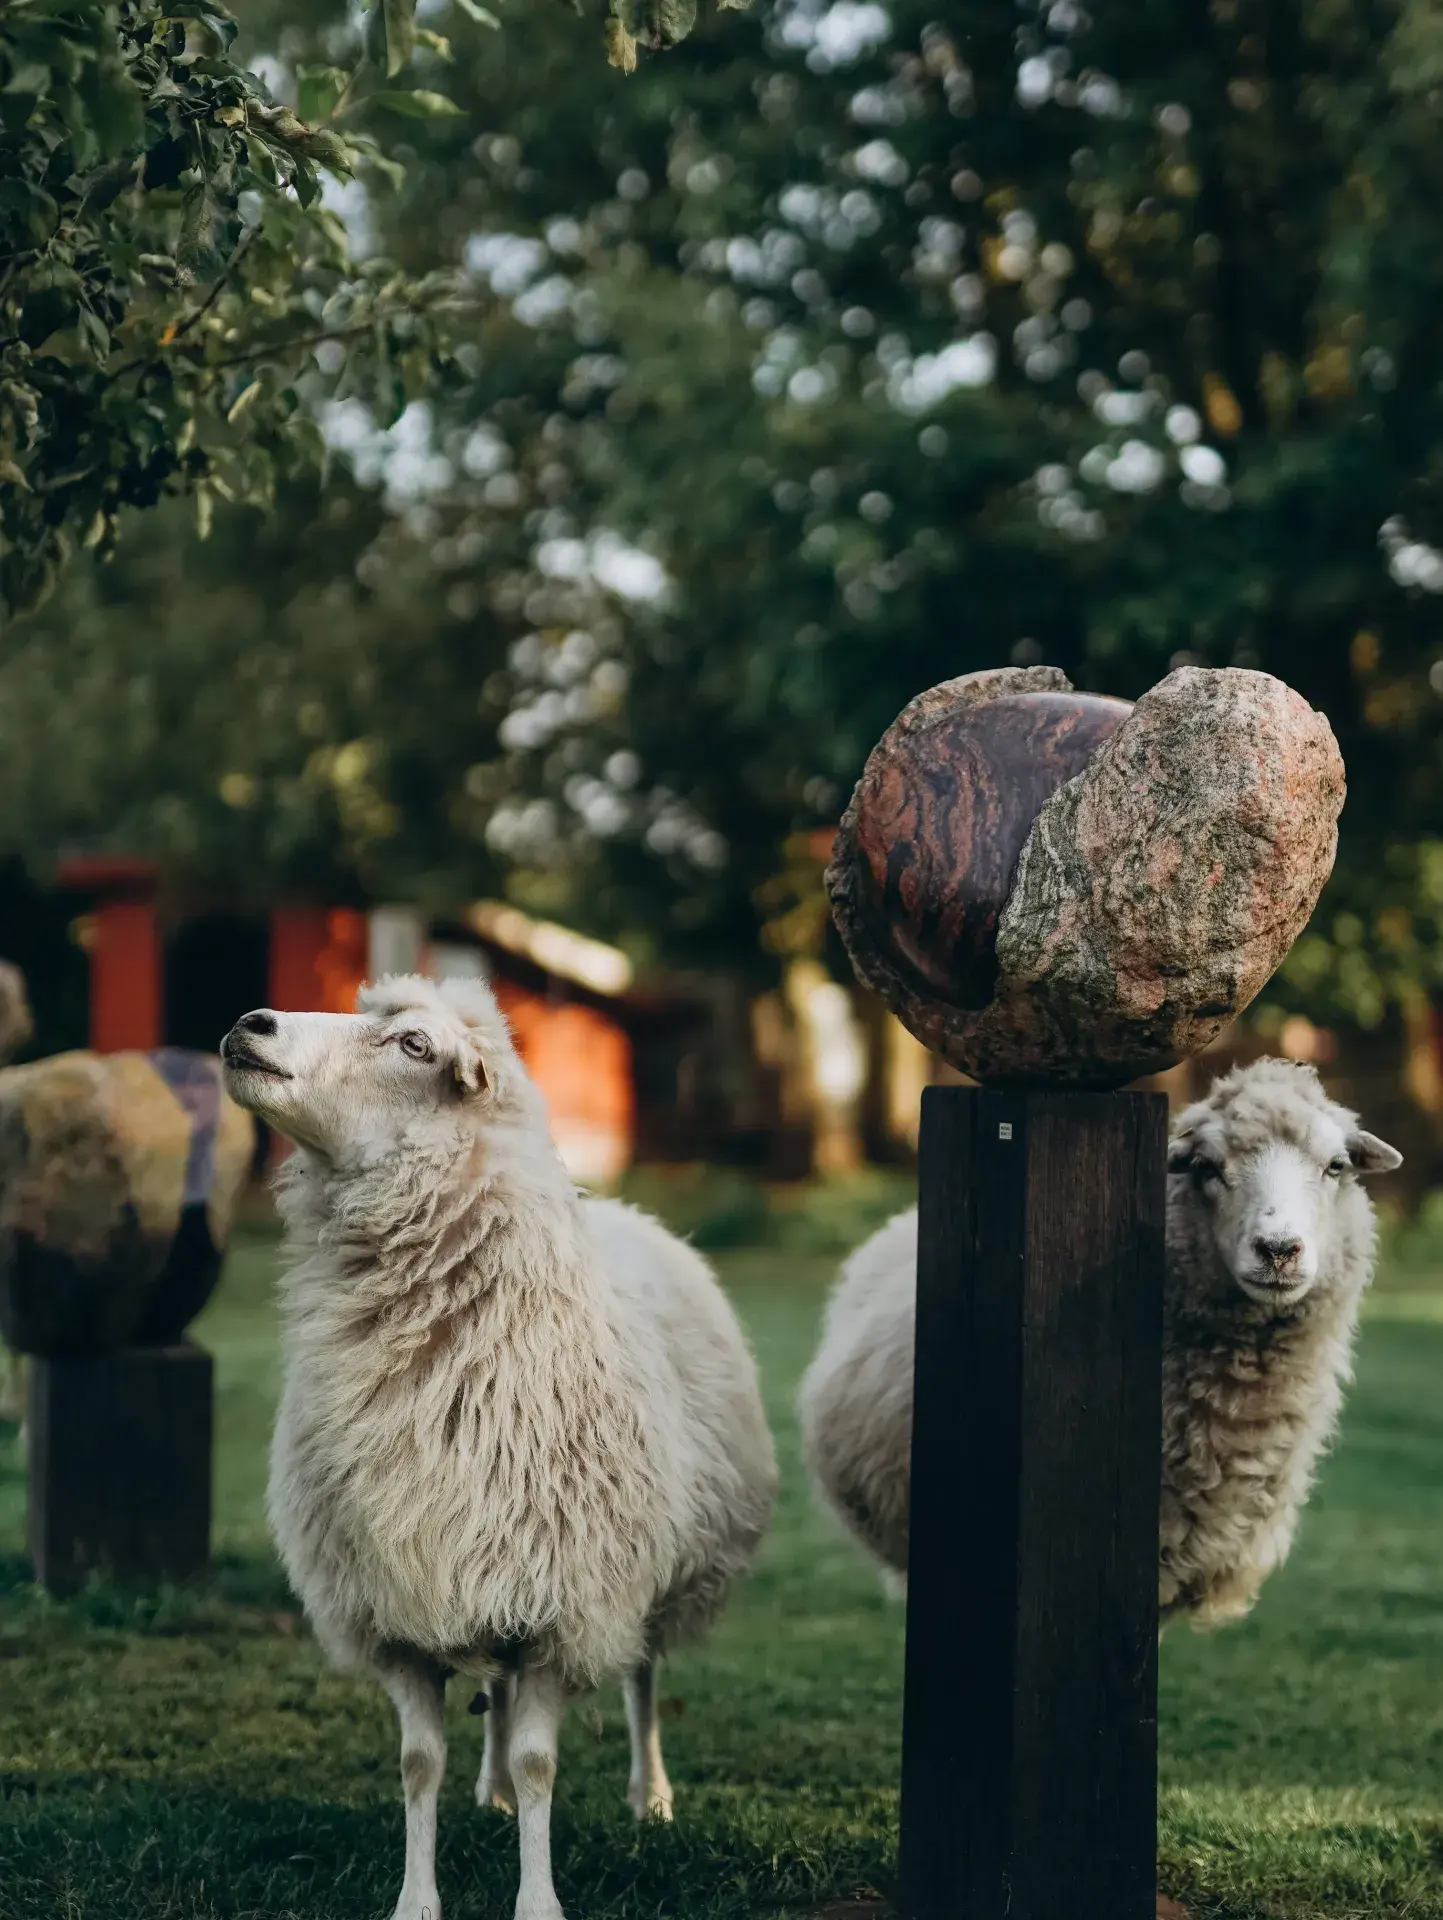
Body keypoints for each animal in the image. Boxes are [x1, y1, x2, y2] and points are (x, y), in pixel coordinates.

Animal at [220, 974, 776, 1920]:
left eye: (413, 1045)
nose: (249, 1022)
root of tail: (620, 1208)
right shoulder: (404, 1602)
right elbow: (419, 1763)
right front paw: (416, 1898)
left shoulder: (566, 1603)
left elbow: (541, 1756)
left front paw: (538, 1899)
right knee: (495, 1686)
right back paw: (492, 1794)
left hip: (643, 1573)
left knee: (642, 1680)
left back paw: (650, 1796)